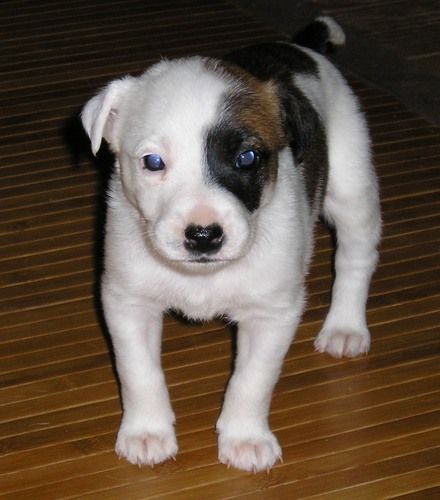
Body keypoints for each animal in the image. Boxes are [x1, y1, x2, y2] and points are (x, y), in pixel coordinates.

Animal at [81, 16, 381, 472]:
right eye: (153, 162)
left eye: (247, 158)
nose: (203, 235)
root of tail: (301, 47)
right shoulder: (128, 302)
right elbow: (139, 373)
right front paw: (147, 431)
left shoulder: (271, 314)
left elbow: (251, 380)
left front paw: (245, 437)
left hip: (351, 188)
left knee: (355, 258)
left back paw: (345, 326)